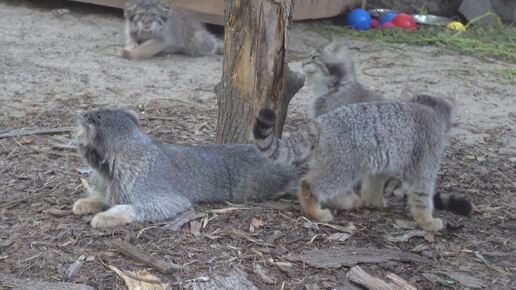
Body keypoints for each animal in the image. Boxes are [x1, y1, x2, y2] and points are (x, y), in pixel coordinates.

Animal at [74, 108, 296, 227]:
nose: (81, 114)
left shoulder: (170, 200)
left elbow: (131, 207)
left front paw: (109, 215)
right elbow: (103, 196)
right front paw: (88, 202)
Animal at [255, 96, 472, 232]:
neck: (428, 110)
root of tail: (322, 121)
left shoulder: (381, 166)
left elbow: (374, 184)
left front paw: (373, 201)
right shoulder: (423, 163)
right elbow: (422, 195)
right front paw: (427, 221)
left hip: (336, 162)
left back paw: (348, 201)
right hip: (343, 165)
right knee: (309, 184)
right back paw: (316, 211)